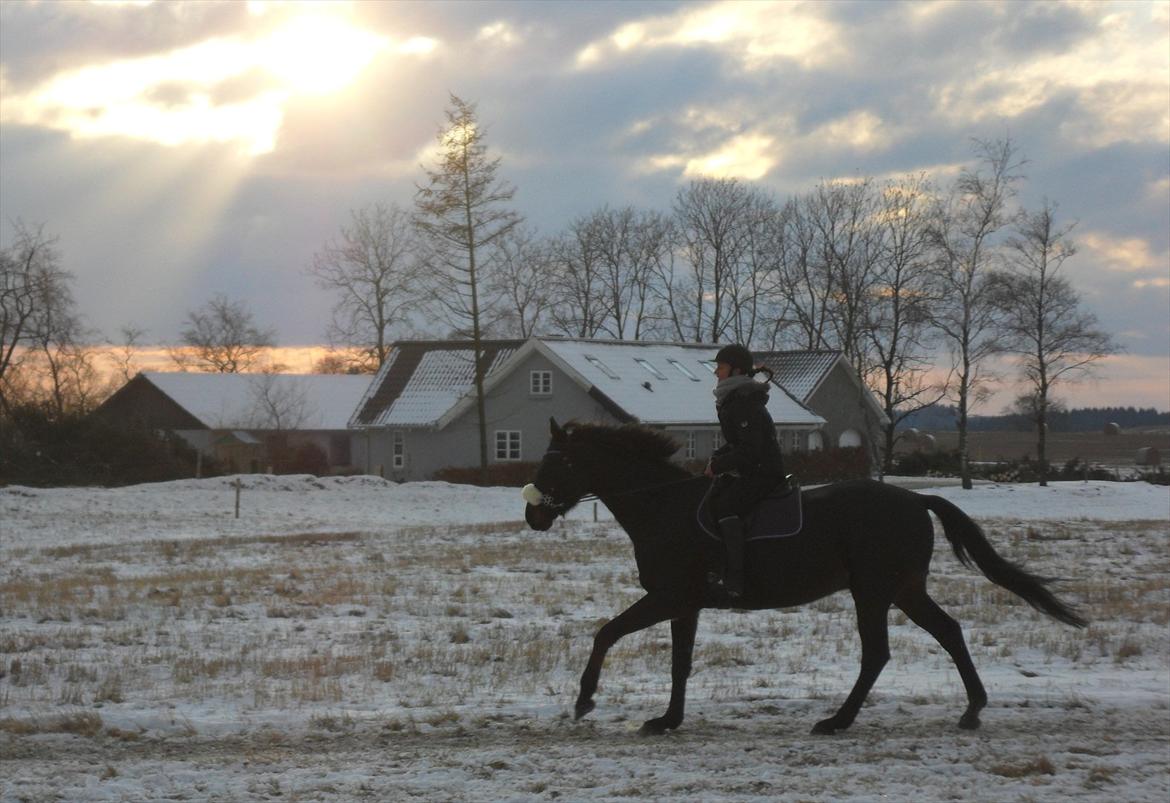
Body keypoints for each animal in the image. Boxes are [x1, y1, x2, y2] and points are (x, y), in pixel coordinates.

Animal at [521, 419, 1085, 739]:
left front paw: (584, 700)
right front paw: (666, 721)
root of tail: (916, 498)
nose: (534, 516)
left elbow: (606, 633)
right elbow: (680, 664)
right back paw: (971, 710)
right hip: (903, 590)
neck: (663, 505)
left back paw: (837, 722)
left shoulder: (668, 597)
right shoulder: (686, 605)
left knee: (877, 653)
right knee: (948, 631)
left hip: (873, 591)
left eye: (559, 462)